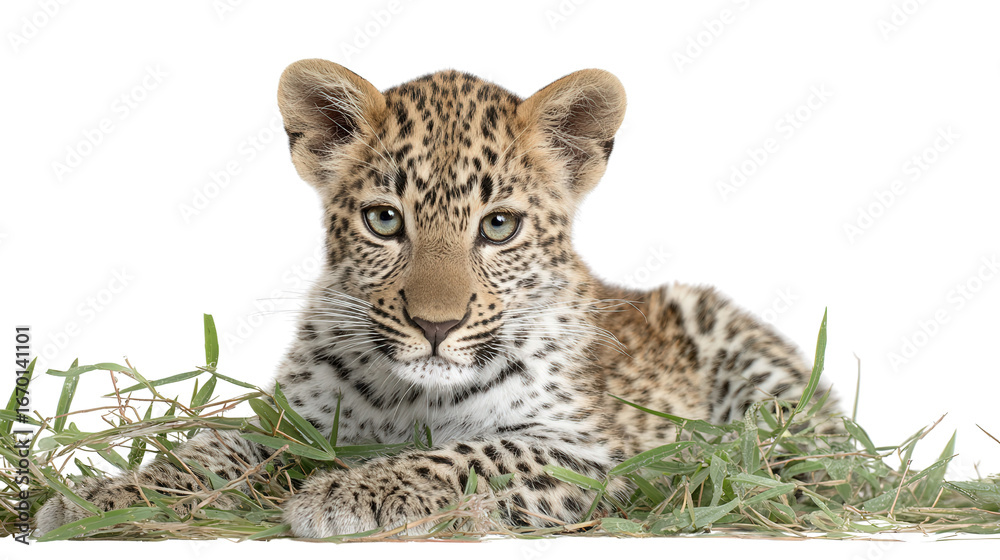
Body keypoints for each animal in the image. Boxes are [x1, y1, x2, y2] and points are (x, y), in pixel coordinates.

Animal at [36, 59, 835, 538]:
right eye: (385, 220)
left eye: (499, 226)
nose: (434, 325)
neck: (406, 397)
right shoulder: (291, 423)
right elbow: (211, 450)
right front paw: (100, 498)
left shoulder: (582, 450)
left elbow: (469, 456)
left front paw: (346, 495)